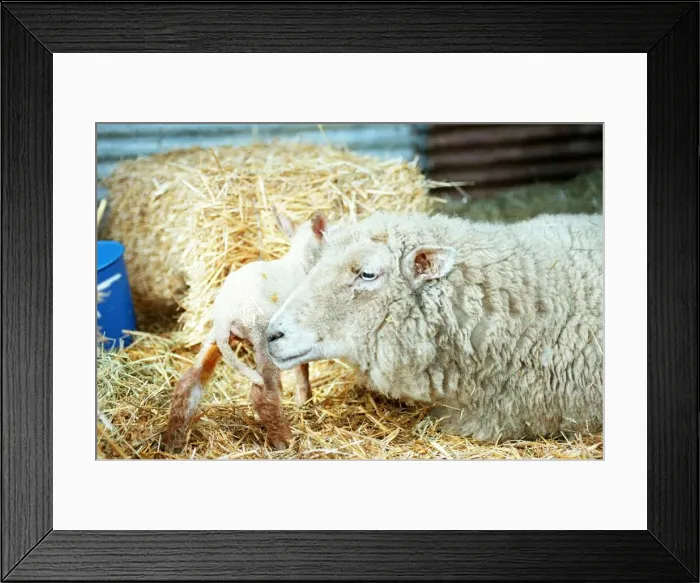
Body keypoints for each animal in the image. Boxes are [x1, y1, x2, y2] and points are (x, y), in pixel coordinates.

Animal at [163, 209, 329, 451]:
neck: (300, 261)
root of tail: (226, 315)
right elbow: (303, 372)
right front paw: (306, 402)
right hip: (260, 336)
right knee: (262, 394)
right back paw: (284, 440)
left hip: (215, 339)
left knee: (188, 382)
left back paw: (173, 441)